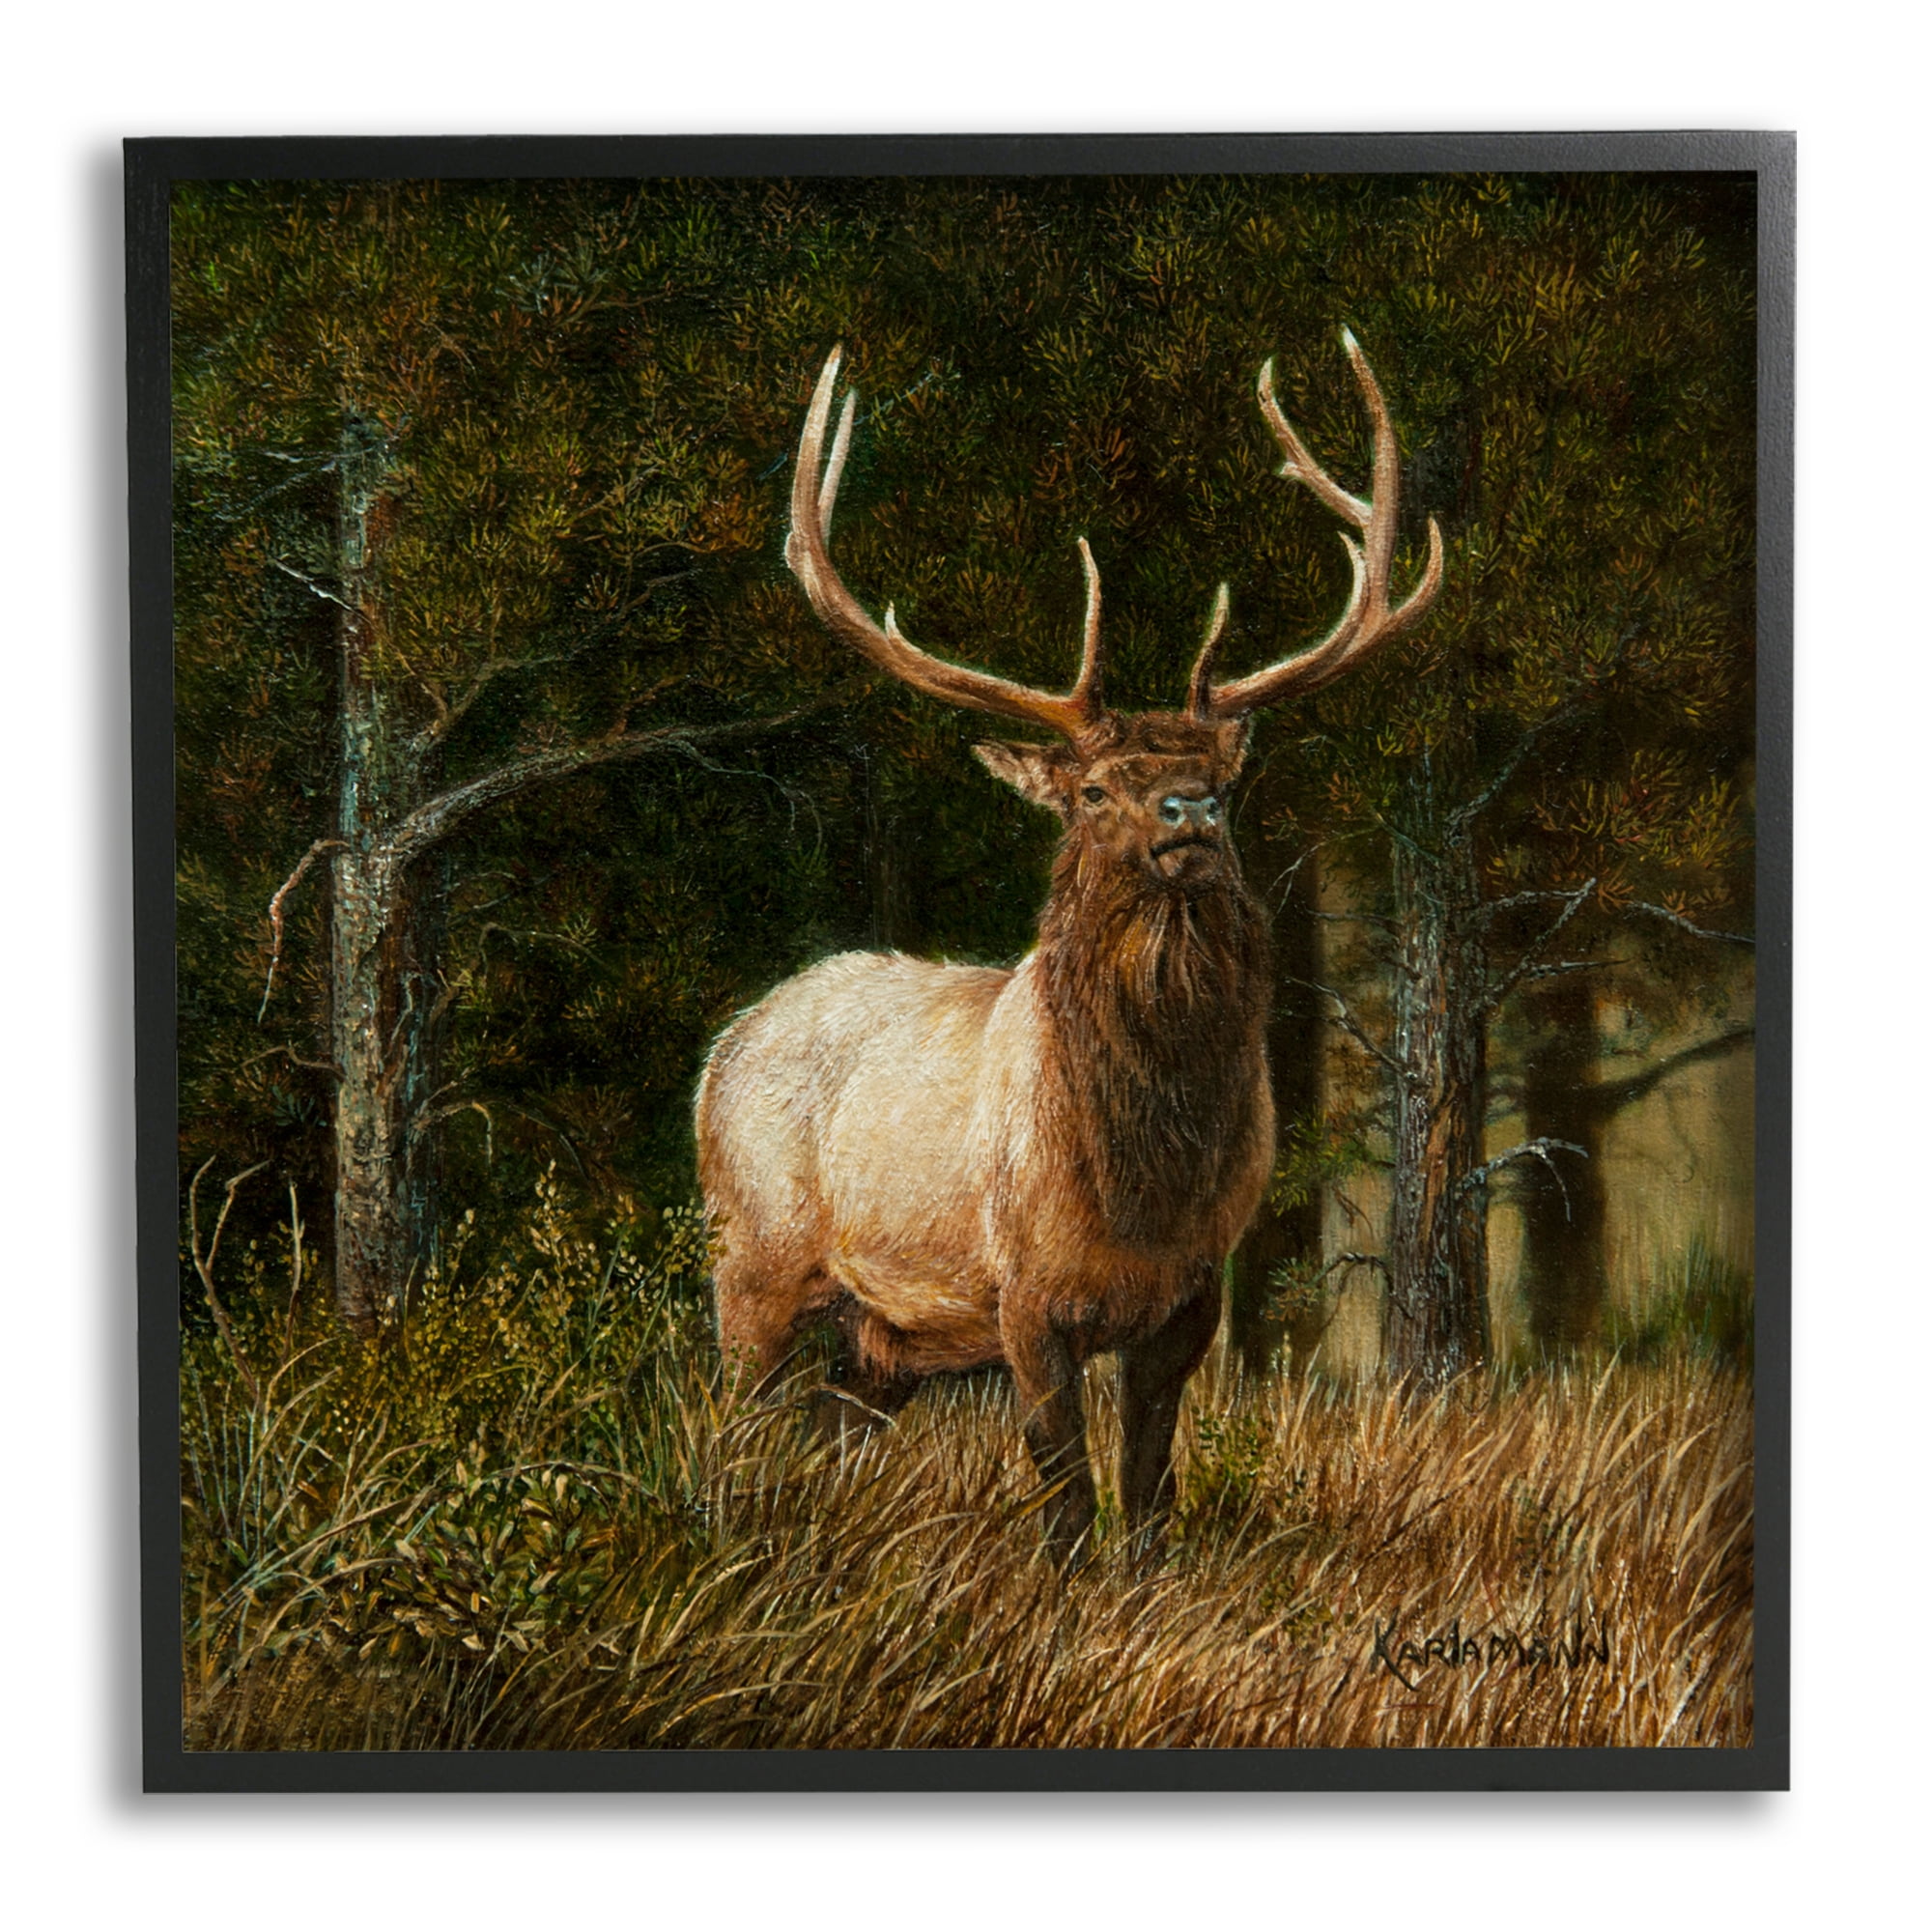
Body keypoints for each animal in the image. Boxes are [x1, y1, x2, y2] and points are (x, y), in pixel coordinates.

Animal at [696, 330, 1442, 1564]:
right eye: (1093, 788)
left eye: (1224, 779)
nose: (1187, 811)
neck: (1138, 1183)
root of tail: (727, 1041)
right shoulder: (1020, 1293)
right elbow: (1061, 1485)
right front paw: (1063, 1584)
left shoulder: (1192, 1293)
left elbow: (1147, 1481)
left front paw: (1143, 1584)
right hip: (748, 1255)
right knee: (728, 1419)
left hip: (879, 1336)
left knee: (828, 1429)